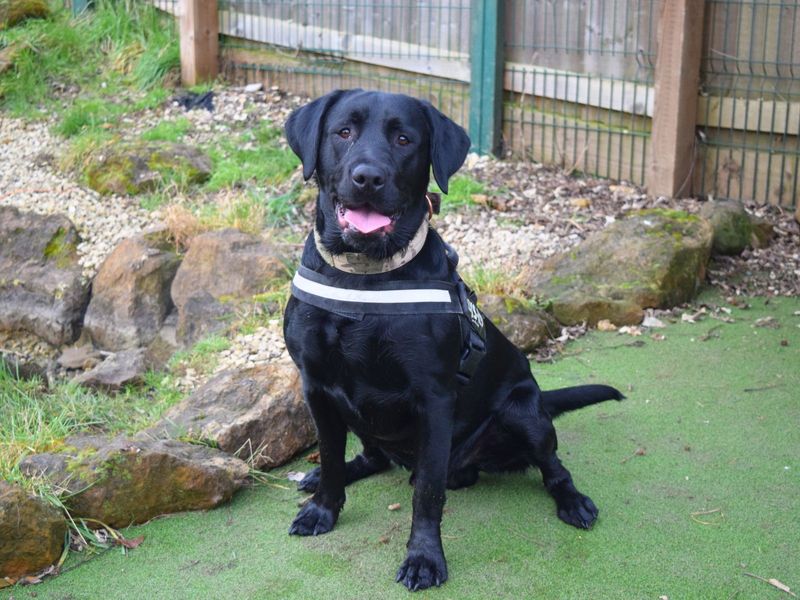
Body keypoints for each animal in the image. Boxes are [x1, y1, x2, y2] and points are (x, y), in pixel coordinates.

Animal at [282, 90, 624, 592]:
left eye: (404, 139)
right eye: (343, 132)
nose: (368, 177)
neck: (366, 277)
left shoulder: (434, 399)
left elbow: (428, 491)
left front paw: (424, 558)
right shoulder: (317, 387)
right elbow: (328, 456)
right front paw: (323, 508)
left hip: (525, 414)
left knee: (551, 466)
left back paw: (572, 500)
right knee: (372, 456)